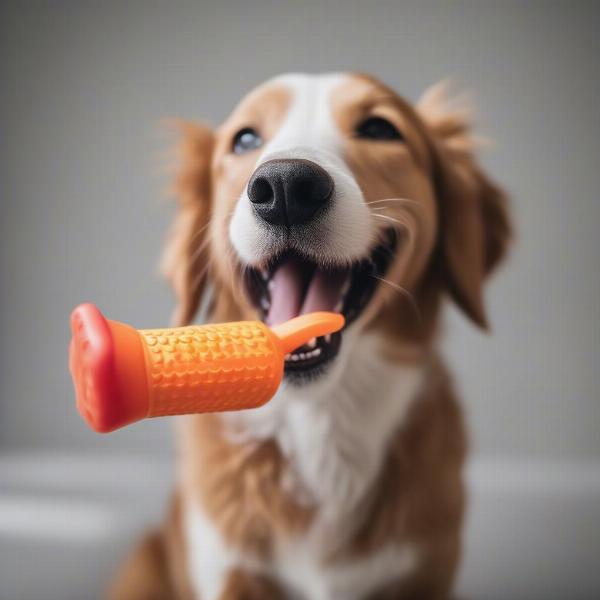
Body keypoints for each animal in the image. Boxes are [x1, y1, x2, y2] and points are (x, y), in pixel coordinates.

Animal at [109, 74, 510, 600]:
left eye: (380, 128)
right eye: (245, 139)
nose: (285, 186)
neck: (320, 421)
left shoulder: (424, 570)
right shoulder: (229, 572)